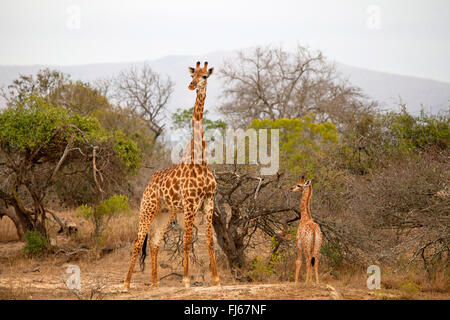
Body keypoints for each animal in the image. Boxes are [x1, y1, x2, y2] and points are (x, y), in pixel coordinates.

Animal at [125, 60, 220, 290]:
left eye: (205, 76)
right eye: (193, 74)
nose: (191, 85)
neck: (200, 160)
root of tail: (149, 182)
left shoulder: (209, 201)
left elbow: (209, 241)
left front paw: (216, 280)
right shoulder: (190, 203)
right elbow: (186, 241)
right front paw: (186, 280)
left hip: (165, 212)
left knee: (154, 242)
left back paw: (154, 283)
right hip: (147, 207)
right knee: (138, 241)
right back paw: (126, 284)